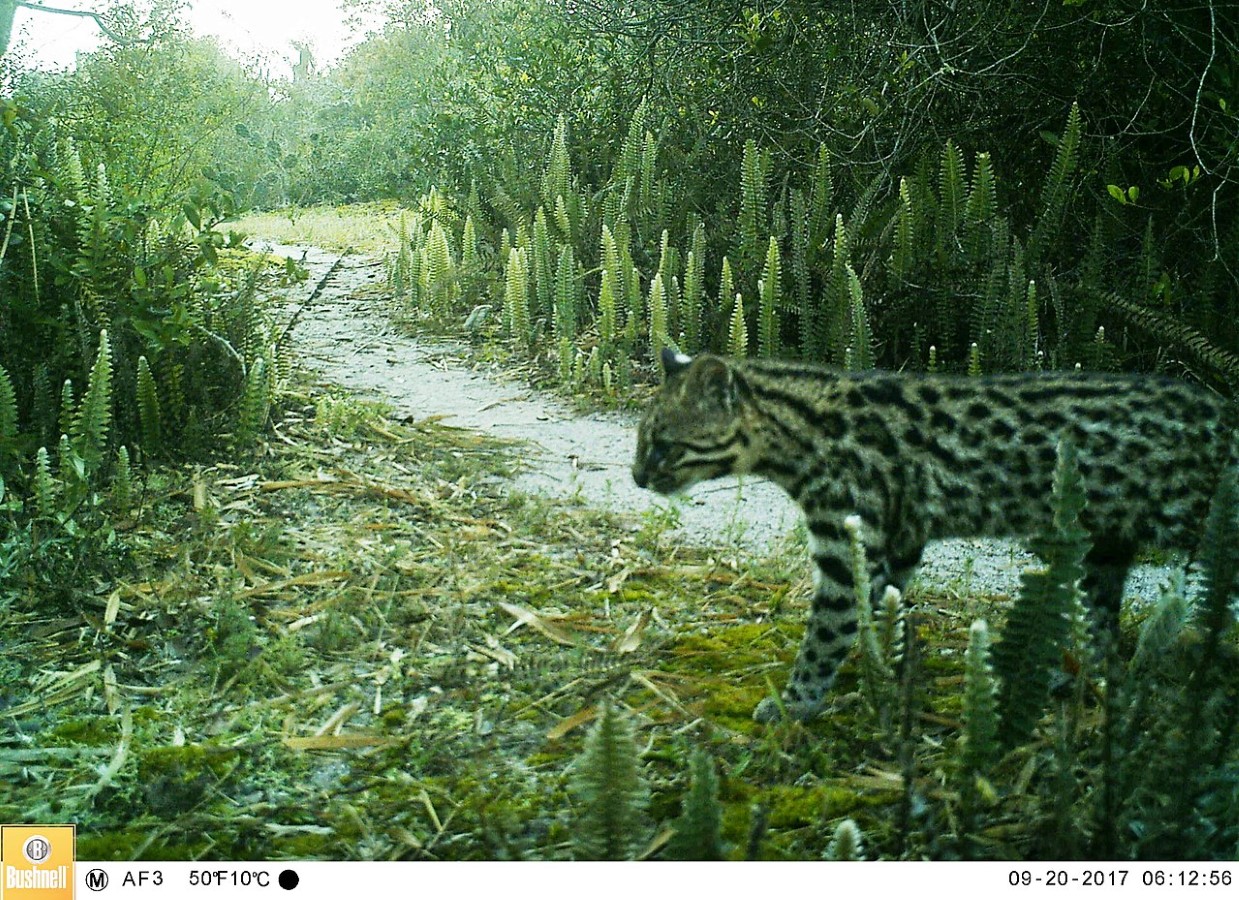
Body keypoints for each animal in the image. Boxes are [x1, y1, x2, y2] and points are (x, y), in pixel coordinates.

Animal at [634, 349, 1234, 723]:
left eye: (663, 445)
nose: (637, 477)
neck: (800, 425)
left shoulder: (848, 548)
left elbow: (827, 634)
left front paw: (795, 702)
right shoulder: (898, 541)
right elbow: (886, 611)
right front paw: (884, 671)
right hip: (1106, 545)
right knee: (1101, 624)